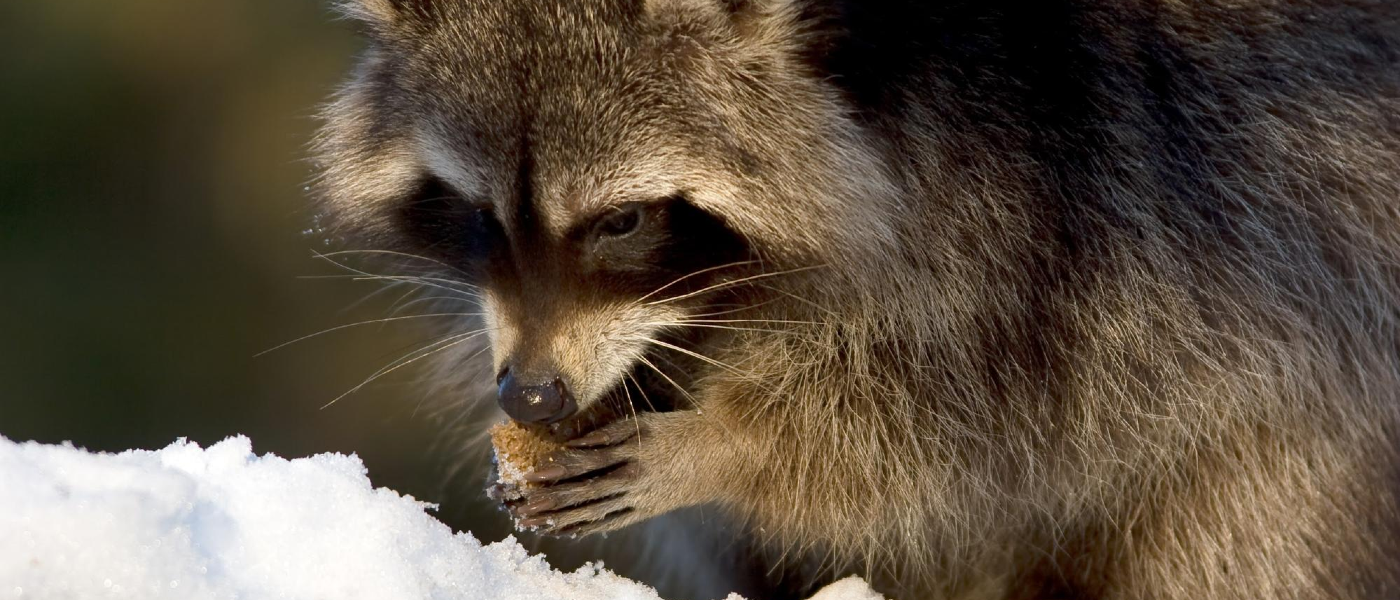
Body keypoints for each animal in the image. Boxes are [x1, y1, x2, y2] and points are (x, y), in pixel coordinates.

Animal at [312, 1, 1400, 598]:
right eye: (476, 214)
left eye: (622, 220)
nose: (531, 397)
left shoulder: (1087, 174)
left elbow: (980, 413)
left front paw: (727, 444)